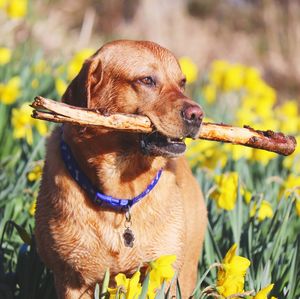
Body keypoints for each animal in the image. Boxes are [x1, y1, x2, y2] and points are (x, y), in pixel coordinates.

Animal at [35, 40, 207, 299]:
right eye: (147, 80)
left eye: (182, 83)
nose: (197, 115)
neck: (120, 195)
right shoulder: (72, 280)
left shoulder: (162, 275)